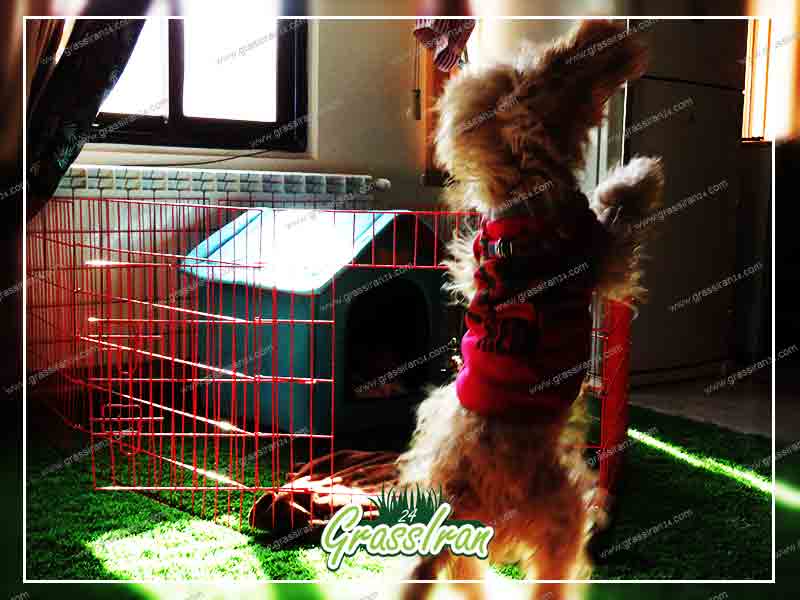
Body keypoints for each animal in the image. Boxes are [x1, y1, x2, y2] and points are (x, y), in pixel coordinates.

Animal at [395, 20, 664, 600]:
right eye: (559, 65)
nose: (611, 28)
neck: (522, 192)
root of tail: (459, 500)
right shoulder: (602, 252)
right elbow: (617, 205)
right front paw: (642, 174)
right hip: (560, 513)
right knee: (553, 570)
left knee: (465, 574)